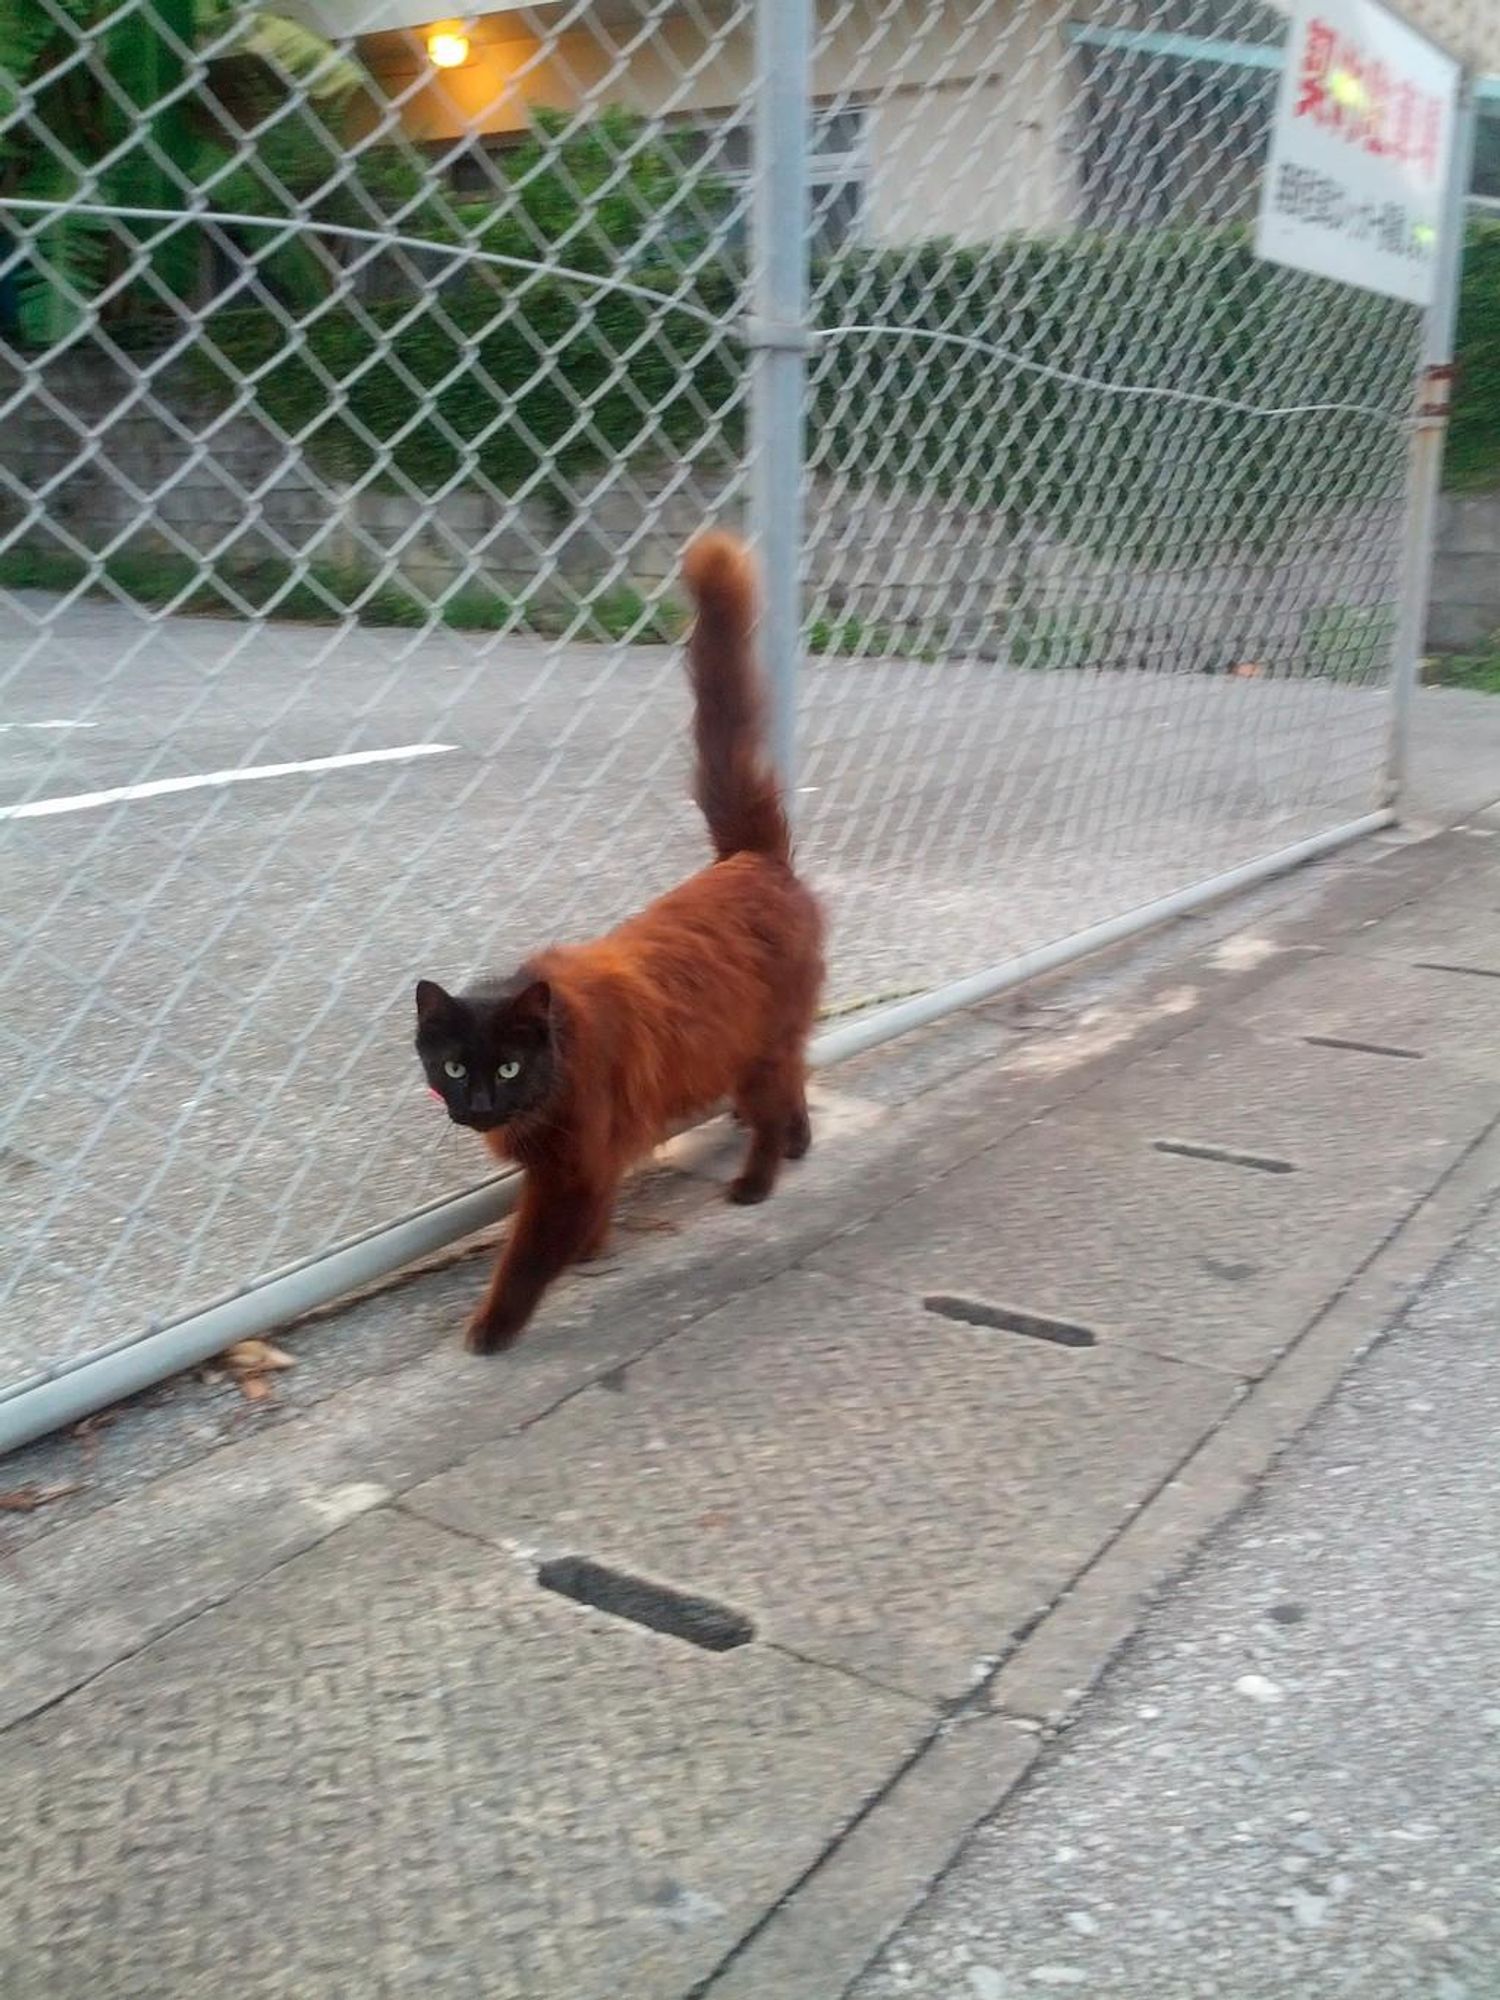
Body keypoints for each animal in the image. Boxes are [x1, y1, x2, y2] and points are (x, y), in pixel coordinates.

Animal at [418, 524, 828, 1352]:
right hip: (762, 1045)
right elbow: (590, 1215)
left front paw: (492, 1330)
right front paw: (592, 1251)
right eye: (452, 1066)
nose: (478, 1102)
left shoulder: (571, 1166)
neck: (563, 1053)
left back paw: (758, 1181)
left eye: (507, 1067)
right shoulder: (591, 1158)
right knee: (795, 1082)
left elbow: (526, 1257)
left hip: (754, 1053)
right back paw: (798, 1145)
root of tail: (751, 859)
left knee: (773, 1108)